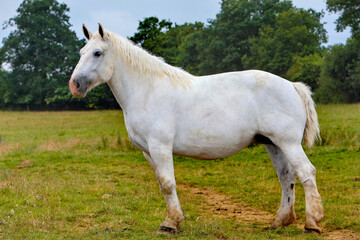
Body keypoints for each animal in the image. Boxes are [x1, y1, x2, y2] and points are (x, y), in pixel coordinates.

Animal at [69, 24, 324, 234]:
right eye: (82, 52)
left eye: (97, 53)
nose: (75, 85)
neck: (147, 90)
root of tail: (292, 85)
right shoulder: (147, 151)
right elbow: (162, 184)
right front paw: (173, 220)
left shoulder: (160, 146)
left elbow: (168, 183)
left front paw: (170, 224)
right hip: (274, 144)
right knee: (287, 177)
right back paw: (281, 221)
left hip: (288, 143)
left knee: (306, 172)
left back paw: (312, 223)